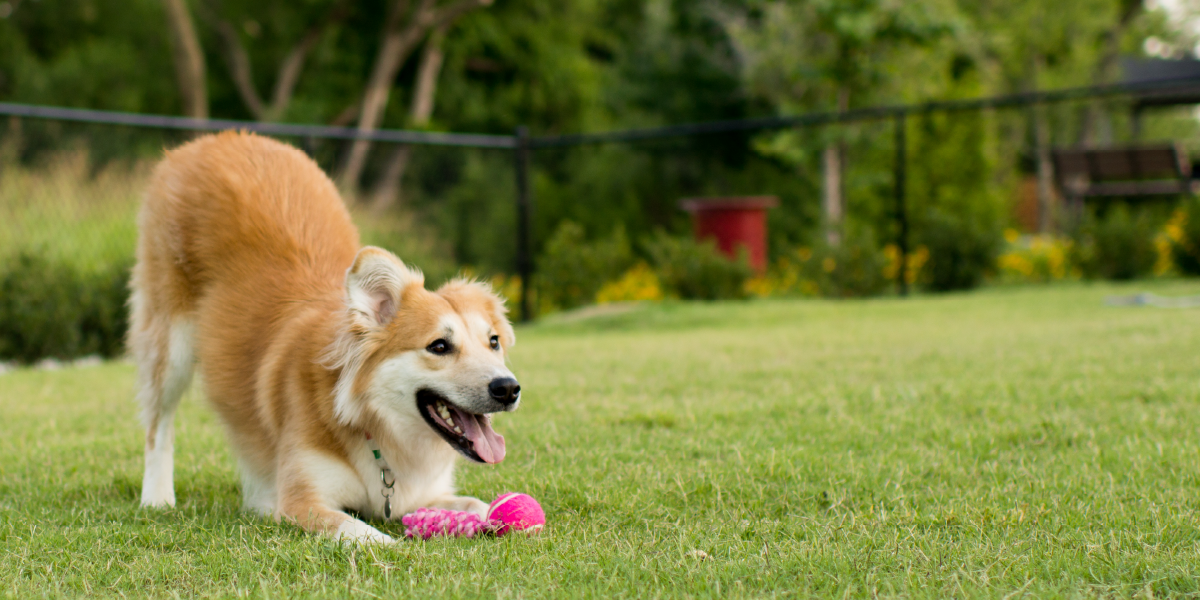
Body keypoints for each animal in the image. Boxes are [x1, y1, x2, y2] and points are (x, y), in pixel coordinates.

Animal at [129, 131, 519, 543]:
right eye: (439, 346)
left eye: (493, 342)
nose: (508, 388)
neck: (373, 424)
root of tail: (217, 138)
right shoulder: (302, 501)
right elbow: (362, 531)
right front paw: (393, 545)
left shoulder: (422, 495)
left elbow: (477, 503)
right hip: (169, 344)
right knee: (158, 425)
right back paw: (157, 497)